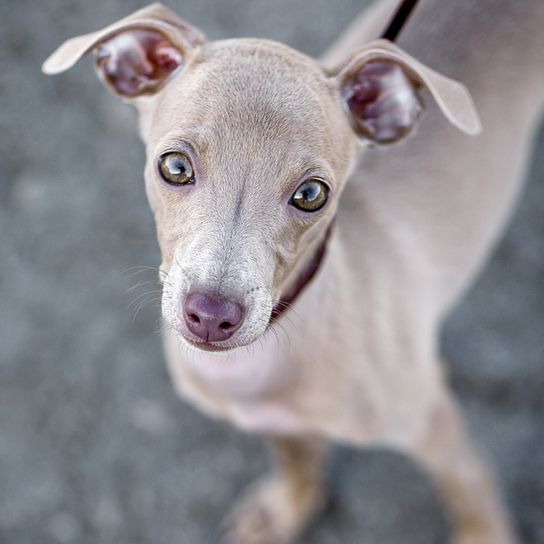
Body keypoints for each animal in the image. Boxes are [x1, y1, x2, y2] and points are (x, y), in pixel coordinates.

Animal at [43, 2, 544, 540]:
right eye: (174, 166)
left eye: (311, 194)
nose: (211, 315)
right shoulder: (278, 421)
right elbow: (297, 456)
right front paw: (290, 506)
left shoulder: (434, 420)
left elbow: (470, 491)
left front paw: (484, 534)